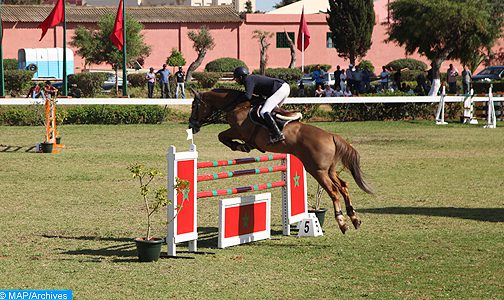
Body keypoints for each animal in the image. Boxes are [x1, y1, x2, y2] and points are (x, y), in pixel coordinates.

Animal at [187, 88, 372, 233]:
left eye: (194, 106)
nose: (191, 125)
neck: (237, 105)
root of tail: (331, 136)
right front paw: (242, 146)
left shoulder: (238, 130)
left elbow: (221, 136)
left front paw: (240, 146)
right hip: (329, 170)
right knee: (344, 186)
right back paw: (354, 219)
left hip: (317, 170)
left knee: (334, 191)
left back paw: (342, 223)